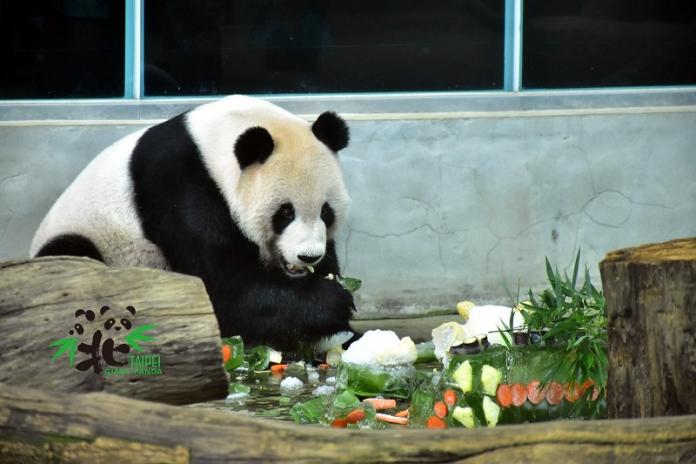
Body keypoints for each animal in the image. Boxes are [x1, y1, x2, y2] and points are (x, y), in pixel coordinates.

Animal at [29, 94, 356, 350]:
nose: (308, 256)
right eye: (285, 213)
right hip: (86, 238)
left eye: (326, 212)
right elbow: (223, 290)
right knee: (72, 262)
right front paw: (333, 301)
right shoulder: (180, 186)